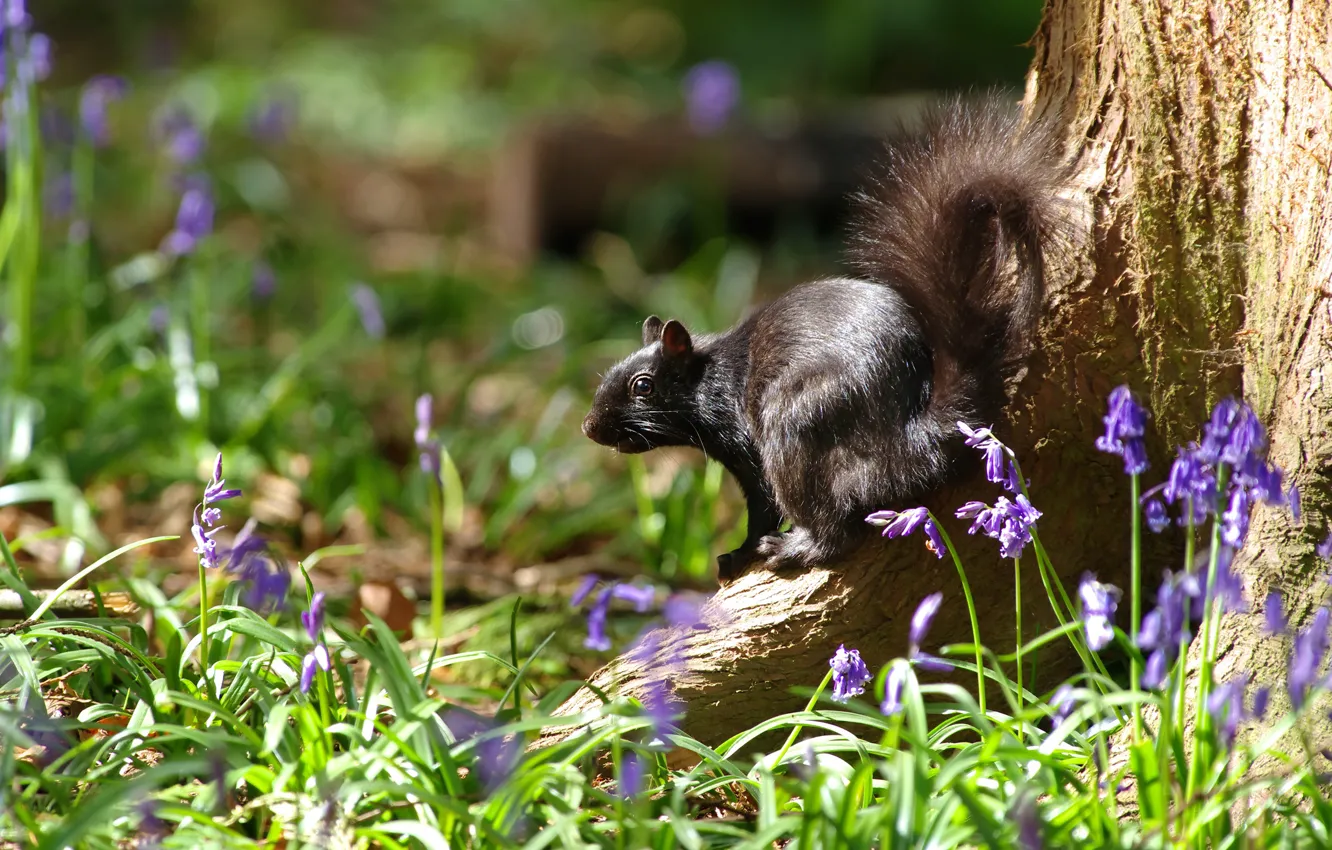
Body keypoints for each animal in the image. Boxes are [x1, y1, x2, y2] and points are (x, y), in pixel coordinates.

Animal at [581, 97, 1069, 582]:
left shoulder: (748, 452)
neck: (711, 377)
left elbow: (762, 507)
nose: (589, 428)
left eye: (643, 386)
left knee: (834, 527)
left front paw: (740, 552)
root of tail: (913, 437)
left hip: (796, 424)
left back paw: (797, 547)